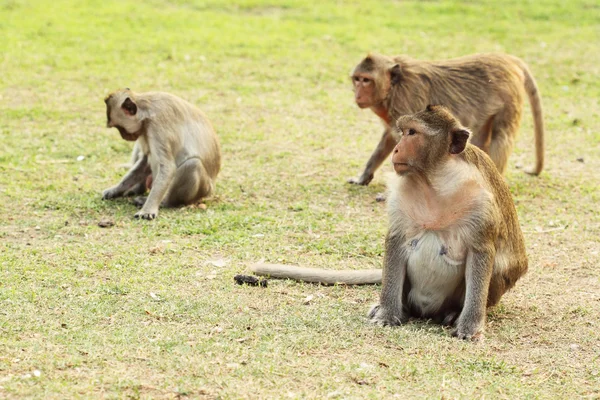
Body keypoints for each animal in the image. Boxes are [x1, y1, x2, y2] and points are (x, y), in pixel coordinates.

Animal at [102, 88, 221, 220]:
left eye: (119, 128)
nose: (123, 136)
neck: (147, 112)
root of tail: (211, 191)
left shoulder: (158, 127)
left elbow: (168, 167)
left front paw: (147, 210)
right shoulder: (145, 129)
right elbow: (145, 162)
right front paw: (115, 190)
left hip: (204, 189)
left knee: (192, 164)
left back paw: (165, 202)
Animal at [251, 104, 528, 340]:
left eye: (413, 133)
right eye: (403, 131)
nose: (396, 148)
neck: (435, 182)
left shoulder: (480, 202)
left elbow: (481, 253)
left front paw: (469, 328)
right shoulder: (400, 193)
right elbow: (396, 241)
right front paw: (386, 314)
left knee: (499, 266)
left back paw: (451, 314)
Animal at [344, 51, 548, 186]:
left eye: (366, 80)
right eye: (357, 79)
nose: (358, 94)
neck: (394, 87)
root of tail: (507, 59)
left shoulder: (406, 101)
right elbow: (389, 139)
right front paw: (363, 177)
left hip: (508, 98)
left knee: (502, 137)